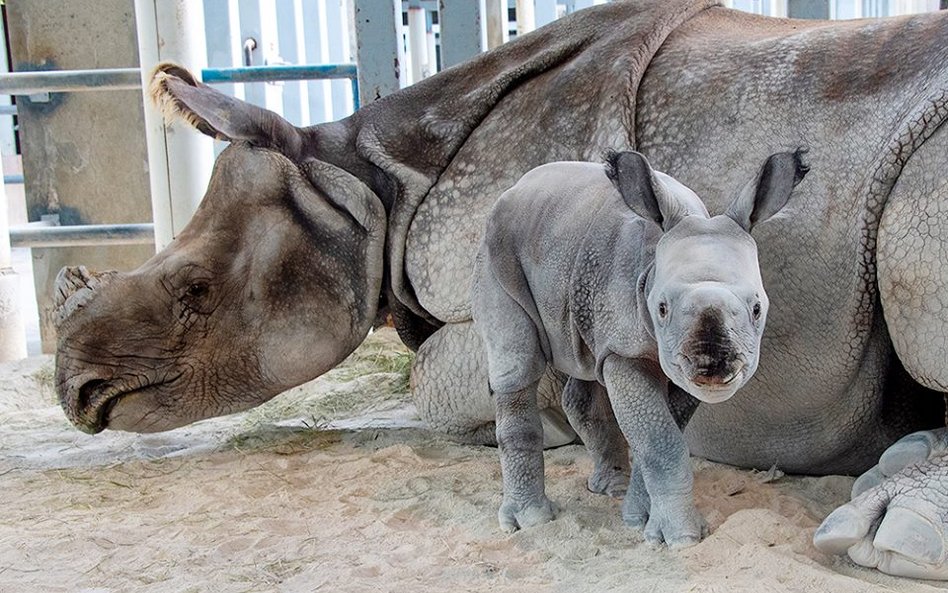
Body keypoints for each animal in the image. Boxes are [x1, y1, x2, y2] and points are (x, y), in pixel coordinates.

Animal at [474, 149, 808, 544]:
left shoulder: (673, 361)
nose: (713, 366)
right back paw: (531, 520)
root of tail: (516, 187)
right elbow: (660, 440)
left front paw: (637, 516)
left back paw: (610, 488)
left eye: (757, 308)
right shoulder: (626, 349)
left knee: (585, 363)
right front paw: (680, 537)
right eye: (661, 308)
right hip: (497, 247)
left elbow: (663, 432)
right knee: (518, 366)